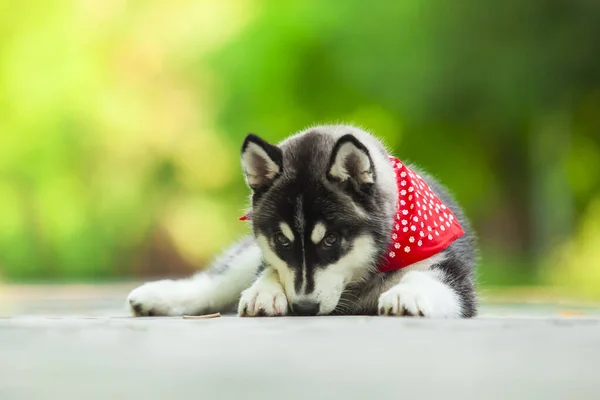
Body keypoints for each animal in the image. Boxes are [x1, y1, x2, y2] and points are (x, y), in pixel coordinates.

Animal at [126, 125, 478, 318]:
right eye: (283, 241)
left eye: (331, 239)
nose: (305, 308)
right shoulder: (268, 255)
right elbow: (271, 269)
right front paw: (264, 291)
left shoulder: (451, 273)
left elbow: (428, 280)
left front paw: (409, 294)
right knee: (216, 282)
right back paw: (158, 297)